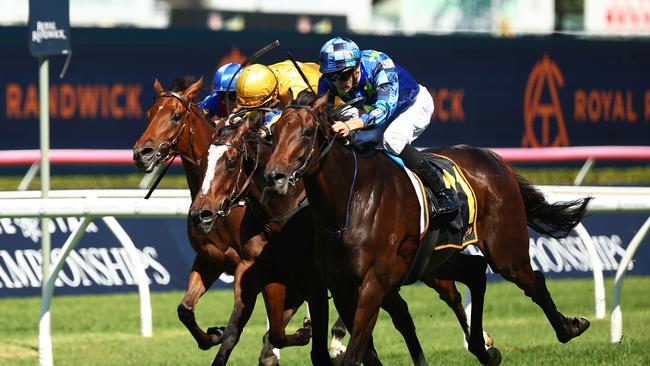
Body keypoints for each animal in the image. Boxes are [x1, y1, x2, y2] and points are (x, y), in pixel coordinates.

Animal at [260, 92, 588, 366]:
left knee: (533, 279)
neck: (349, 202)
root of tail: (494, 159)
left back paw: (569, 327)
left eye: (305, 133)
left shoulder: (373, 281)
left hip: (505, 249)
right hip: (435, 260)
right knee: (475, 272)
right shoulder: (340, 285)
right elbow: (366, 349)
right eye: (272, 134)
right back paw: (483, 349)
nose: (274, 177)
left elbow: (355, 354)